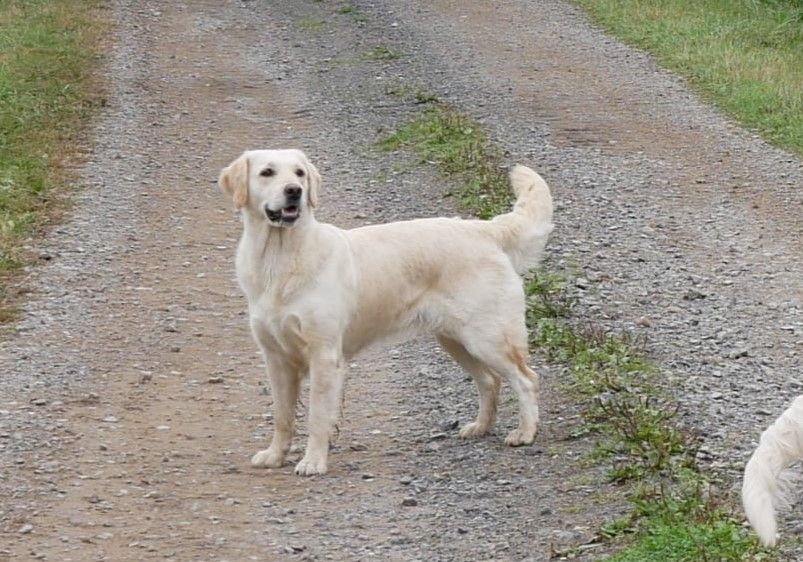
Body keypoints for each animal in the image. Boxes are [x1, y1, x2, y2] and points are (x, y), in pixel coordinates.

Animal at [221, 148, 560, 472]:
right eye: (267, 172)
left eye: (299, 173)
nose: (294, 191)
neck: (279, 258)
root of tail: (484, 229)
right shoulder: (275, 358)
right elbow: (282, 416)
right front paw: (275, 455)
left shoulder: (324, 354)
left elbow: (317, 417)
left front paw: (313, 462)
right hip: (455, 339)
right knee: (490, 381)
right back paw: (480, 427)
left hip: (488, 336)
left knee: (526, 379)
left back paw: (525, 433)